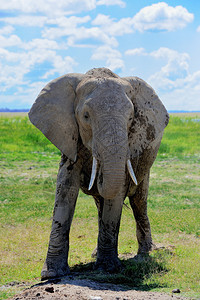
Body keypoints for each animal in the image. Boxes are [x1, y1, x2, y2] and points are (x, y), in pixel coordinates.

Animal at [28, 67, 169, 280]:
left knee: (139, 202)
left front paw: (107, 269)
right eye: (86, 116)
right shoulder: (69, 135)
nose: (98, 174)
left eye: (131, 118)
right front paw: (51, 274)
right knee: (101, 204)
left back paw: (143, 255)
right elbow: (65, 188)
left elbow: (116, 193)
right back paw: (96, 253)